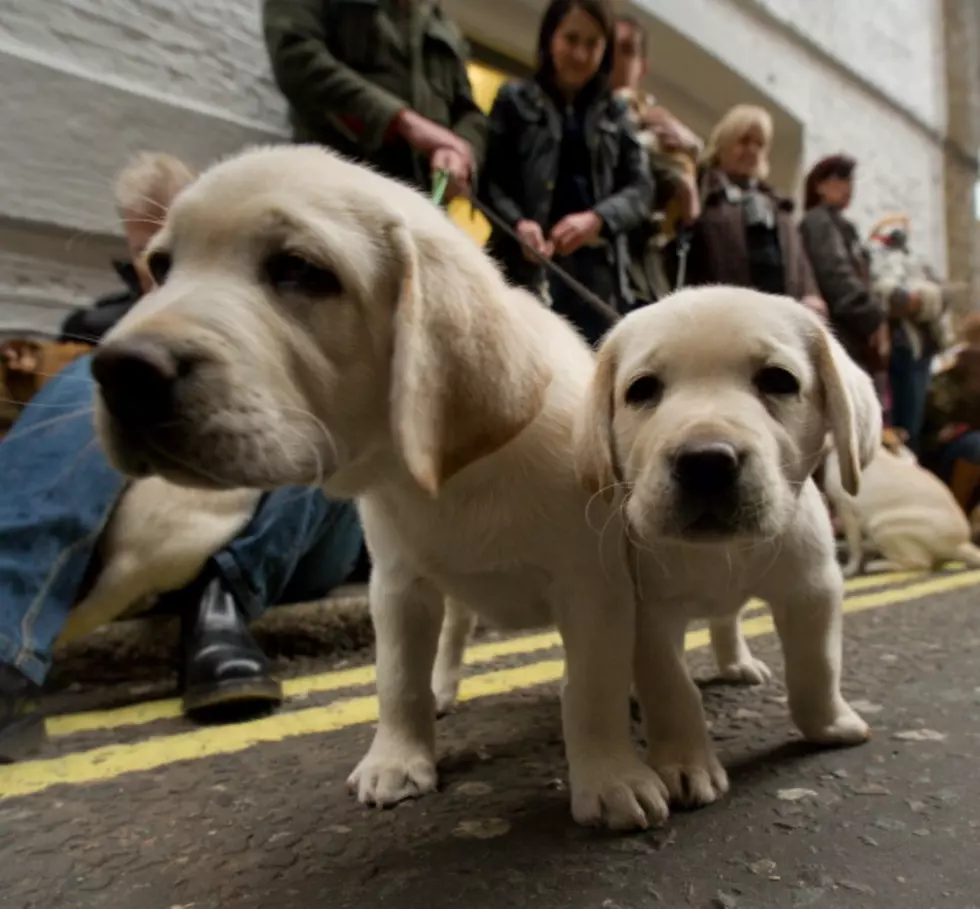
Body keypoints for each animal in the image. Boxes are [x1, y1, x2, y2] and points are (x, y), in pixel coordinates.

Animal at [90, 145, 668, 832]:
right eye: (159, 267)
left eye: (299, 270)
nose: (119, 372)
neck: (456, 477)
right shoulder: (396, 584)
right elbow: (396, 679)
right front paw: (397, 759)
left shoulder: (594, 586)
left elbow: (591, 687)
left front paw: (609, 777)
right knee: (454, 632)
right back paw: (444, 687)